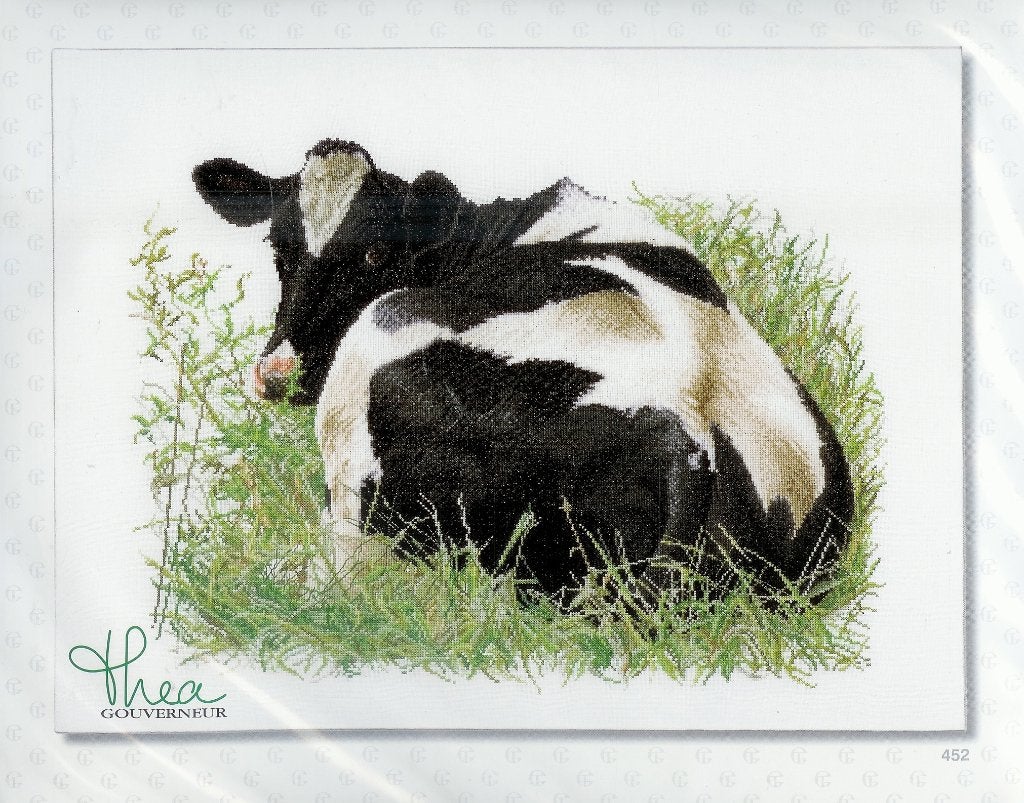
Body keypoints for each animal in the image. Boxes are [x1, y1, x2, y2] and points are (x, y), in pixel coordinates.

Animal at [193, 138, 854, 608]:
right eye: (278, 248)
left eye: (375, 254)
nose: (277, 372)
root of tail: (692, 439)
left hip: (374, 371)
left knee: (354, 568)